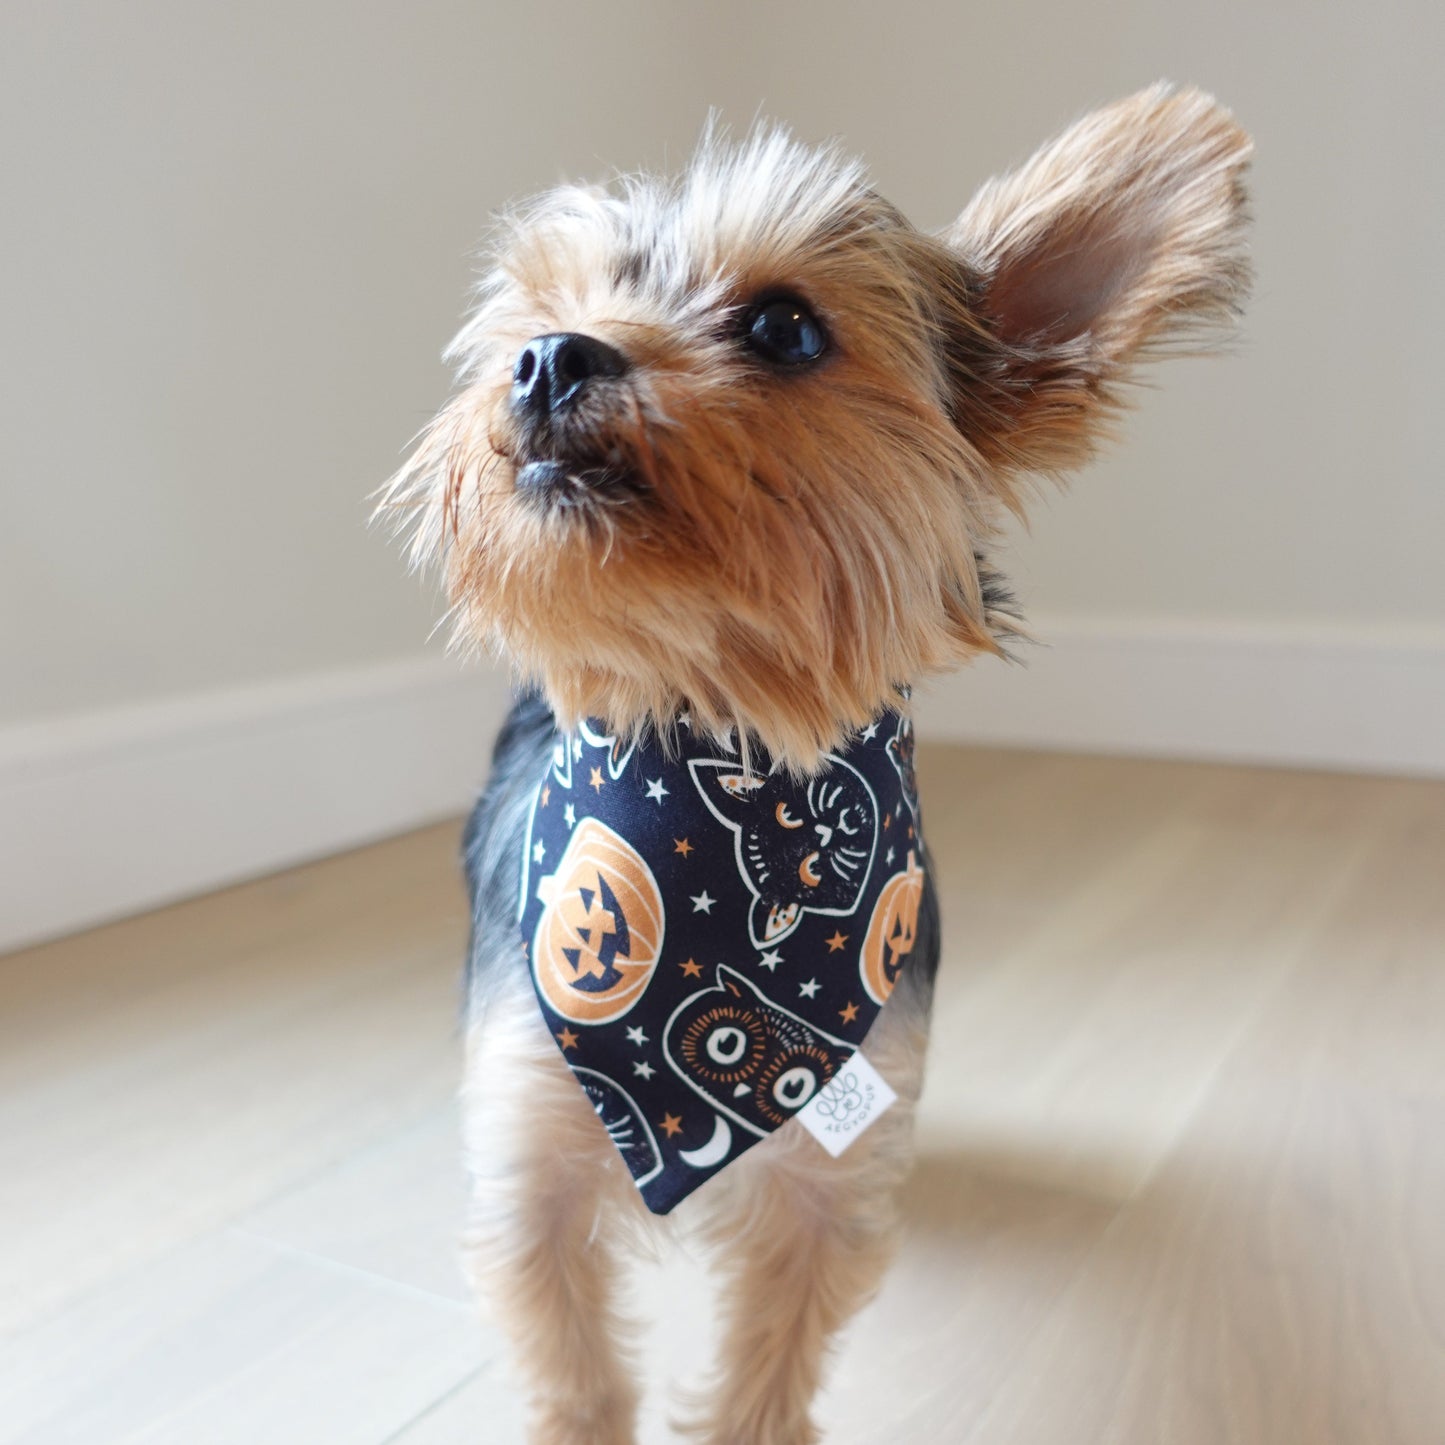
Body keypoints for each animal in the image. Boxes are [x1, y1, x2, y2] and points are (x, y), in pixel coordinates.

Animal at [384, 84, 1254, 1439]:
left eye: (784, 328)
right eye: (533, 316)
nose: (550, 356)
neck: (717, 725)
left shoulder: (827, 1177)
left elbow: (767, 1360)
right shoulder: (532, 1138)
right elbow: (572, 1362)